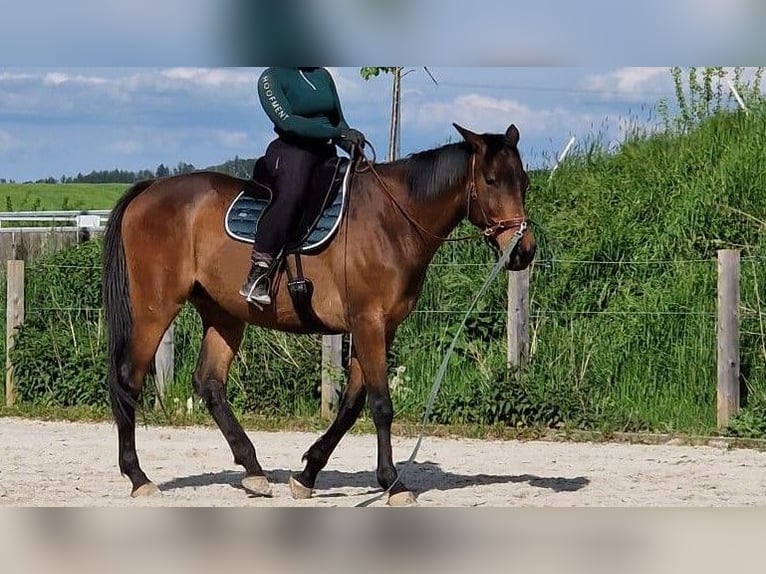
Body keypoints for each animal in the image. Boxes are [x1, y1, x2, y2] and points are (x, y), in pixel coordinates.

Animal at [102, 122, 536, 506]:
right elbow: (380, 404)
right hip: (155, 309)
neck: (392, 220)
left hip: (223, 314)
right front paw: (393, 484)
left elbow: (351, 405)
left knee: (209, 382)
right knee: (128, 380)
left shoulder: (381, 328)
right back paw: (138, 476)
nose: (523, 250)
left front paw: (308, 473)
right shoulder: (368, 323)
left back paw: (254, 471)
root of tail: (150, 189)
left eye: (524, 182)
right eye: (492, 181)